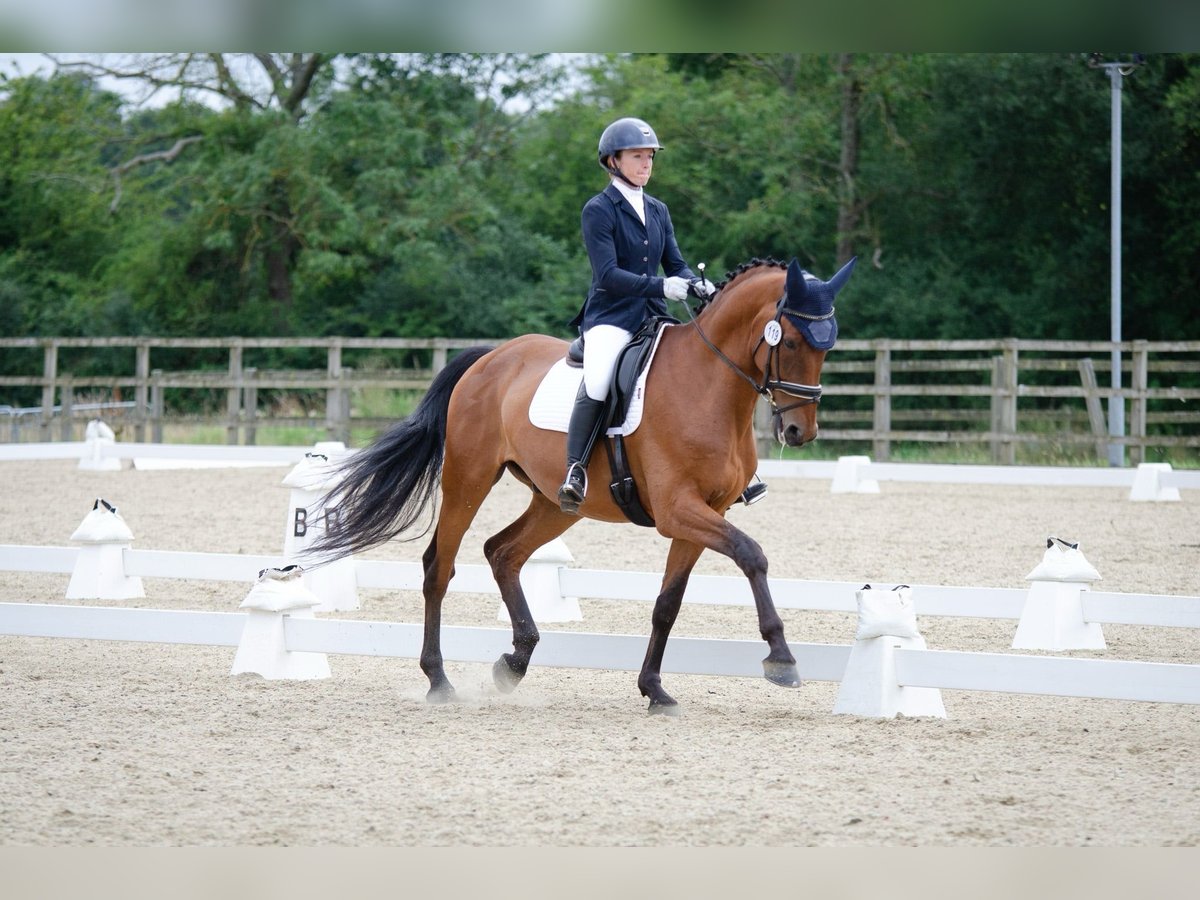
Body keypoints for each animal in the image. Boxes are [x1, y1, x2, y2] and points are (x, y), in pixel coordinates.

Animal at [309, 256, 854, 715]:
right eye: (793, 341)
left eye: (828, 347)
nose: (800, 432)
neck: (707, 386)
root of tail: (492, 357)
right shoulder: (679, 510)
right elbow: (751, 554)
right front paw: (781, 658)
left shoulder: (706, 512)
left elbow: (667, 604)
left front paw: (654, 689)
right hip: (468, 479)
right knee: (438, 568)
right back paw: (439, 680)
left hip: (555, 503)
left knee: (502, 552)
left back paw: (514, 663)